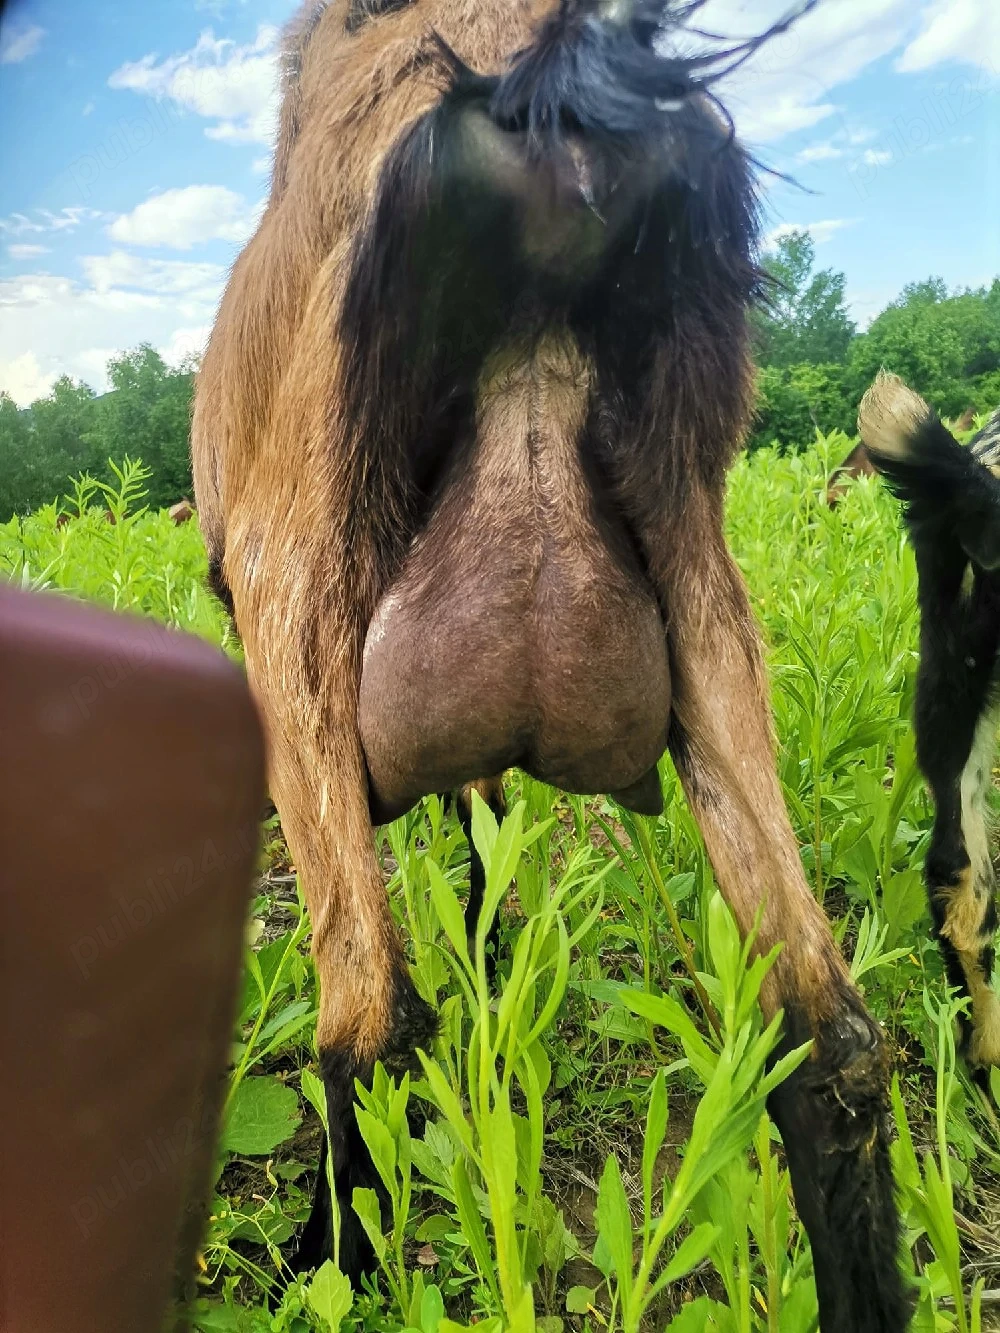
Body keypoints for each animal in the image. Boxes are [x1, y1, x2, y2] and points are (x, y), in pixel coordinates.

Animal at [191, 3, 908, 1328]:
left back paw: (325, 1265)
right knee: (830, 1044)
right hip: (701, 578)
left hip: (296, 594)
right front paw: (488, 955)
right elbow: (481, 825)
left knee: (368, 1013)